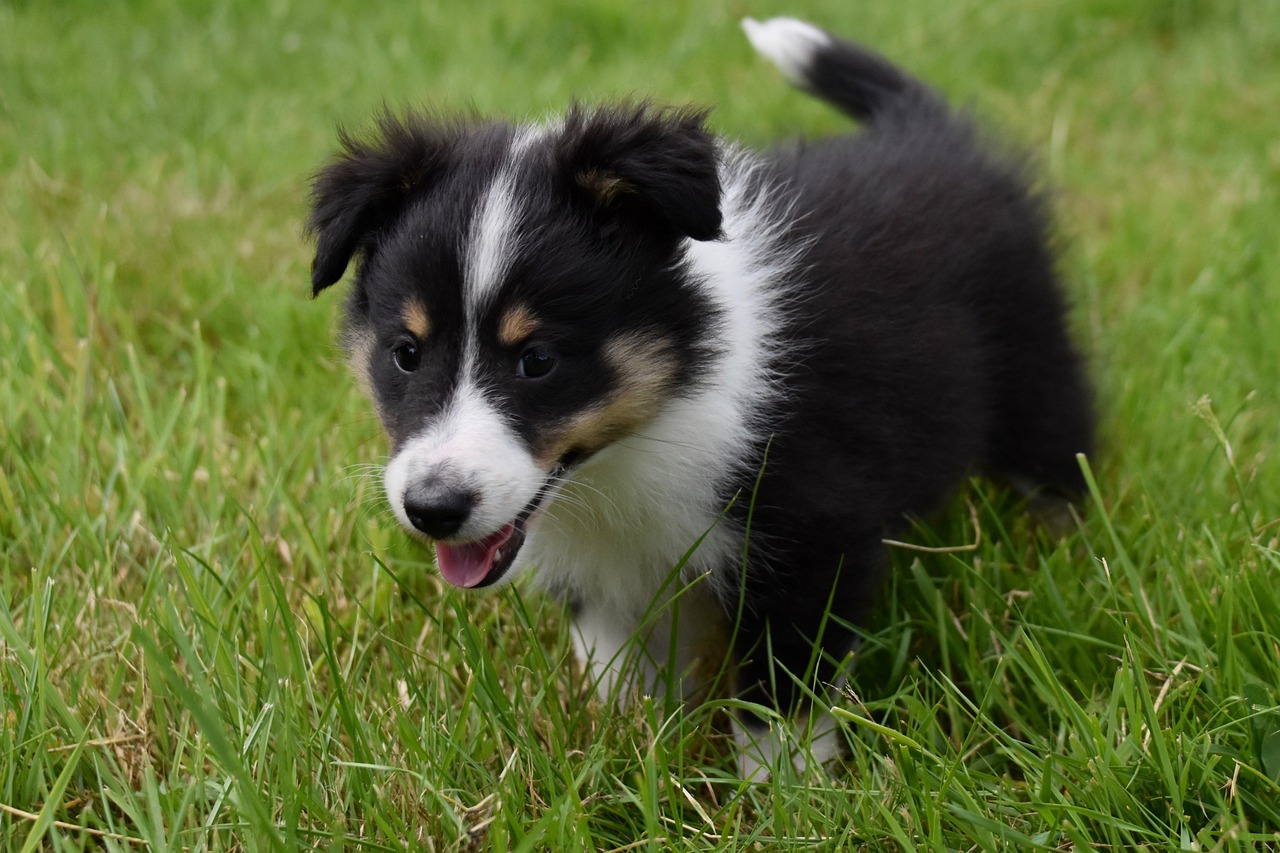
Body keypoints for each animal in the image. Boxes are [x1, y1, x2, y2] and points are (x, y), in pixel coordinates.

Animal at [307, 18, 1090, 768]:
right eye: (406, 354)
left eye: (538, 360)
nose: (432, 510)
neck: (646, 431)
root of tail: (925, 129)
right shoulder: (608, 573)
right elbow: (615, 668)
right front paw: (627, 744)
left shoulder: (810, 532)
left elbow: (781, 691)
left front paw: (785, 790)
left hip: (1035, 369)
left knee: (1058, 455)